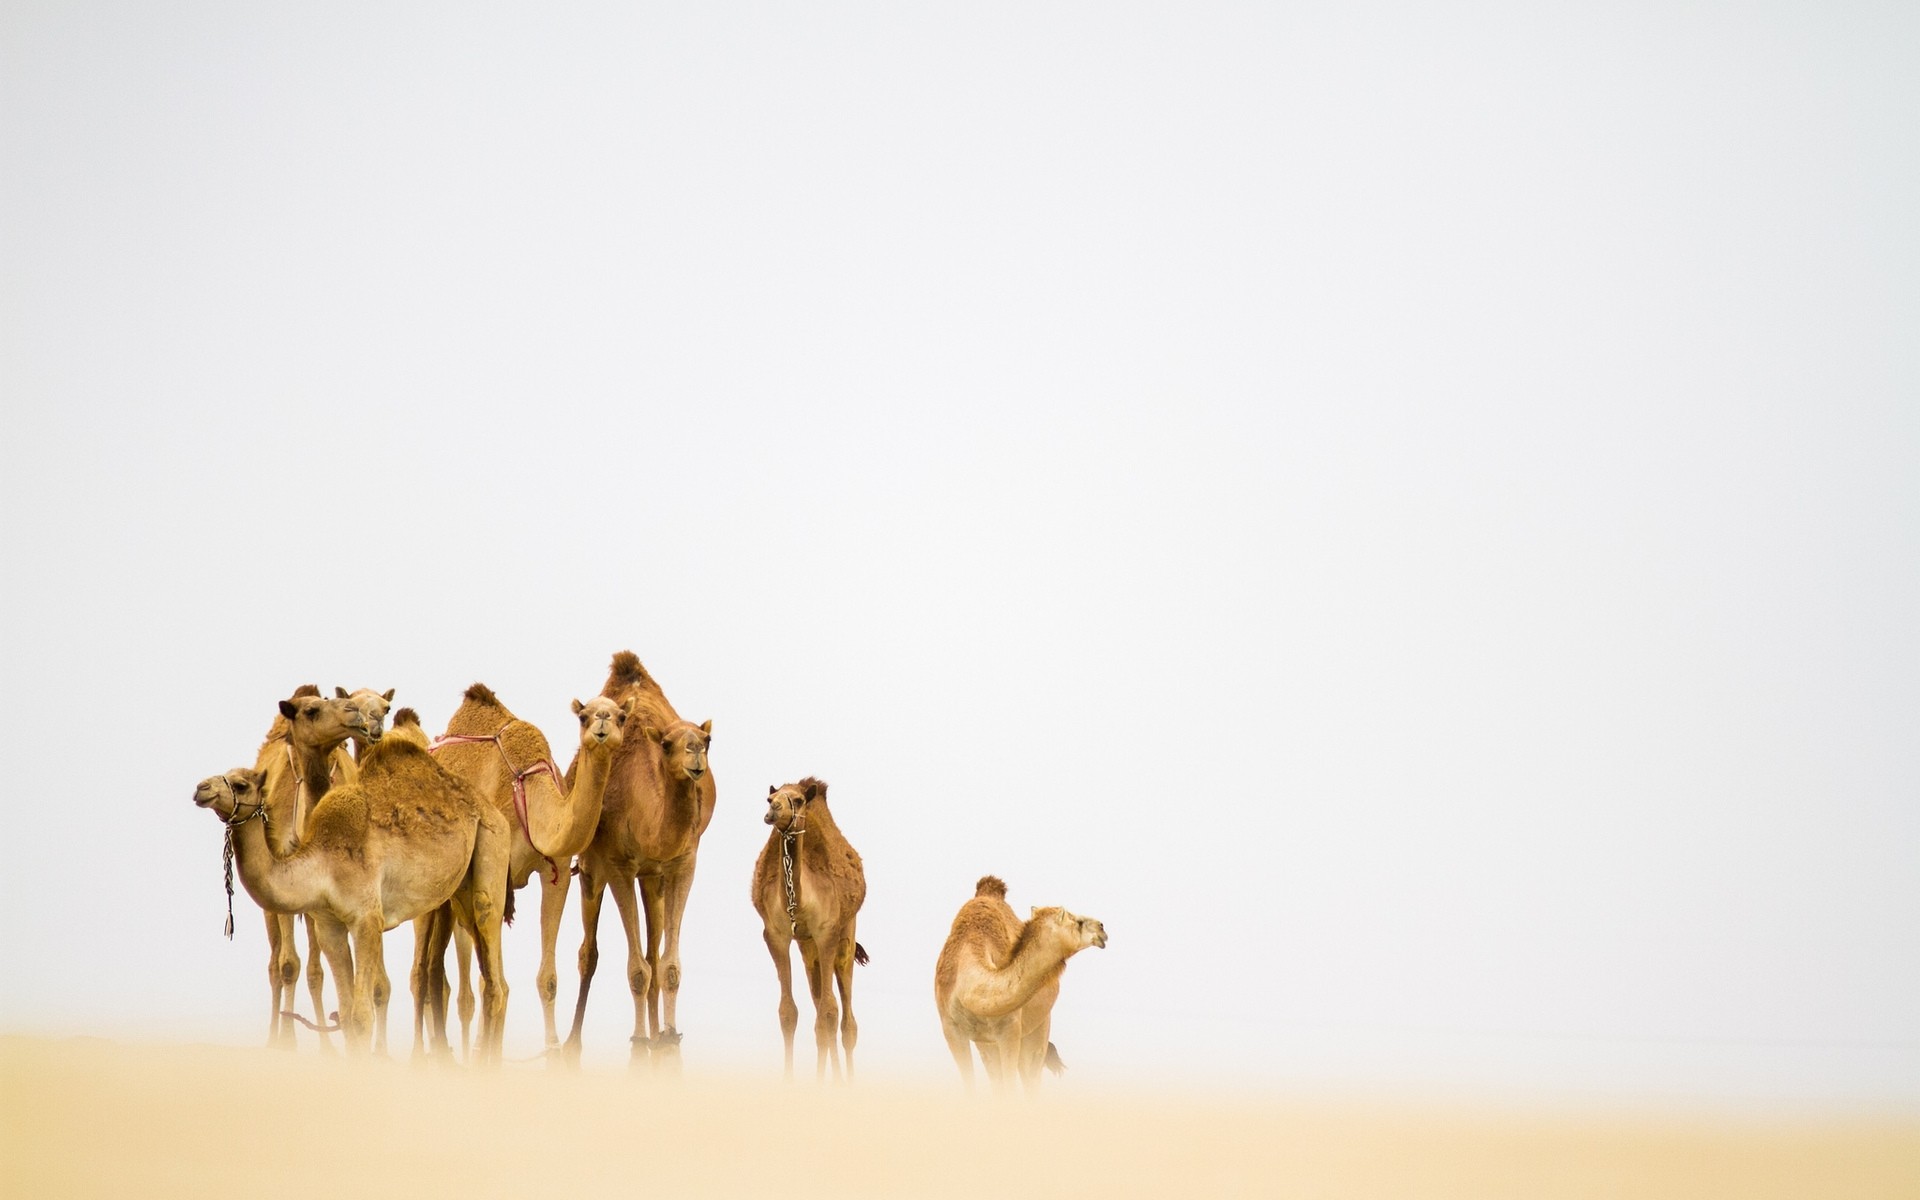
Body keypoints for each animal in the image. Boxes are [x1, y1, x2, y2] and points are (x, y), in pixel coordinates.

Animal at [191, 710, 514, 1059]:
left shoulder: (367, 919)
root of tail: (490, 809)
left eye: (241, 784)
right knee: (491, 978)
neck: (321, 862)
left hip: (492, 848)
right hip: (459, 891)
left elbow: (361, 1016)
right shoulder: (329, 925)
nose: (200, 788)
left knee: (495, 970)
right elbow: (345, 1014)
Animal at [416, 683, 633, 1059]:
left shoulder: (556, 871)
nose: (603, 722)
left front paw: (552, 1048)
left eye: (621, 716)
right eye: (583, 715)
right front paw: (488, 1051)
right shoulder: (497, 876)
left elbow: (546, 978)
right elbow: (492, 979)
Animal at [572, 648, 721, 1059]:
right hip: (592, 870)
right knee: (589, 953)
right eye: (667, 743)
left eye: (707, 739)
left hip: (653, 878)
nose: (695, 754)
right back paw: (572, 1042)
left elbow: (667, 966)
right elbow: (637, 970)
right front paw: (639, 1039)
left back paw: (657, 1031)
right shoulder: (618, 865)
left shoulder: (682, 862)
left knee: (654, 953)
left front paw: (668, 1035)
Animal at [748, 771, 871, 1082]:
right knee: (821, 1007)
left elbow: (829, 1012)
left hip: (845, 935)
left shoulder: (826, 933)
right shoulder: (776, 936)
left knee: (844, 1018)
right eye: (769, 797)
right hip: (807, 947)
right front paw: (792, 1082)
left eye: (799, 799)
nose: (773, 810)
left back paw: (846, 1080)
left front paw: (829, 1083)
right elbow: (789, 1012)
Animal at [933, 875, 1113, 1090]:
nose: (1102, 928)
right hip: (987, 1042)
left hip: (1038, 1028)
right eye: (1078, 921)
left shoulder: (1010, 1029)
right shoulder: (951, 1029)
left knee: (1031, 1078)